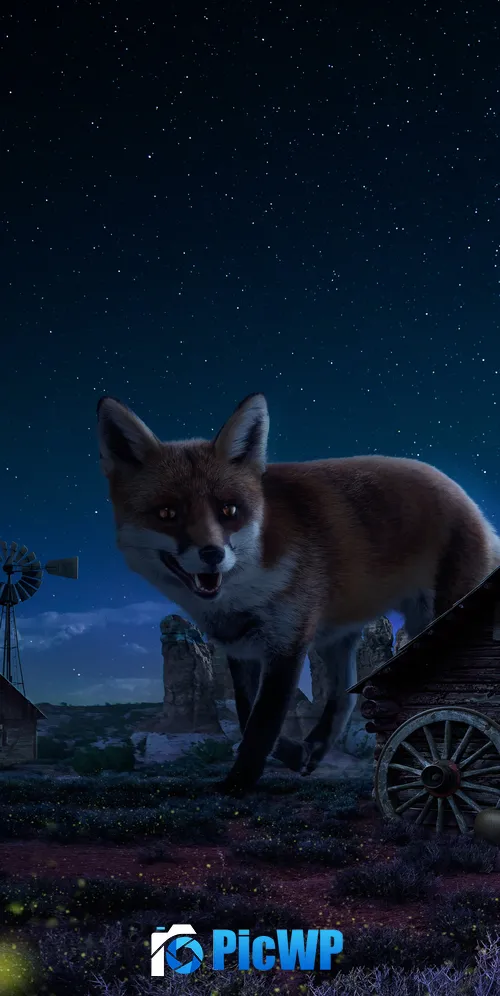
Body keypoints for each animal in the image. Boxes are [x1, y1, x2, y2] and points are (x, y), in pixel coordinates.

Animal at [97, 392, 500, 795]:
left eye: (229, 510)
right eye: (167, 513)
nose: (212, 553)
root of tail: (467, 500)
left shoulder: (287, 641)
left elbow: (262, 724)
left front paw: (237, 783)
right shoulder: (241, 648)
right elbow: (246, 714)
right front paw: (291, 754)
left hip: (433, 617)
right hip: (337, 640)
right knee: (343, 698)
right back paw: (316, 747)